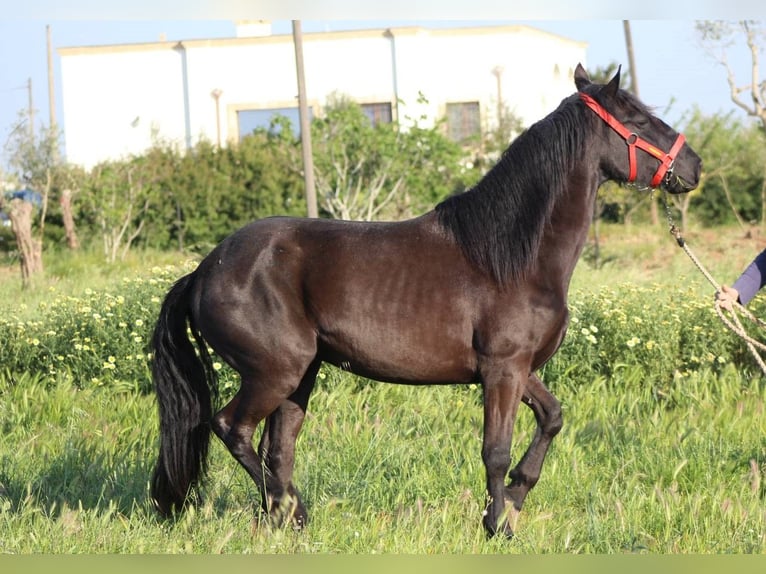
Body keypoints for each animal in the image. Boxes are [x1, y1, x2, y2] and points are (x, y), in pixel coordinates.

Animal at [148, 64, 704, 540]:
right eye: (639, 119)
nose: (694, 165)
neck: (511, 254)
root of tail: (204, 271)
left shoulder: (518, 367)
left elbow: (552, 418)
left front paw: (514, 499)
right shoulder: (502, 369)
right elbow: (495, 451)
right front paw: (496, 525)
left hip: (300, 376)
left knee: (276, 450)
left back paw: (287, 519)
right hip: (275, 372)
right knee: (233, 429)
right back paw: (293, 512)